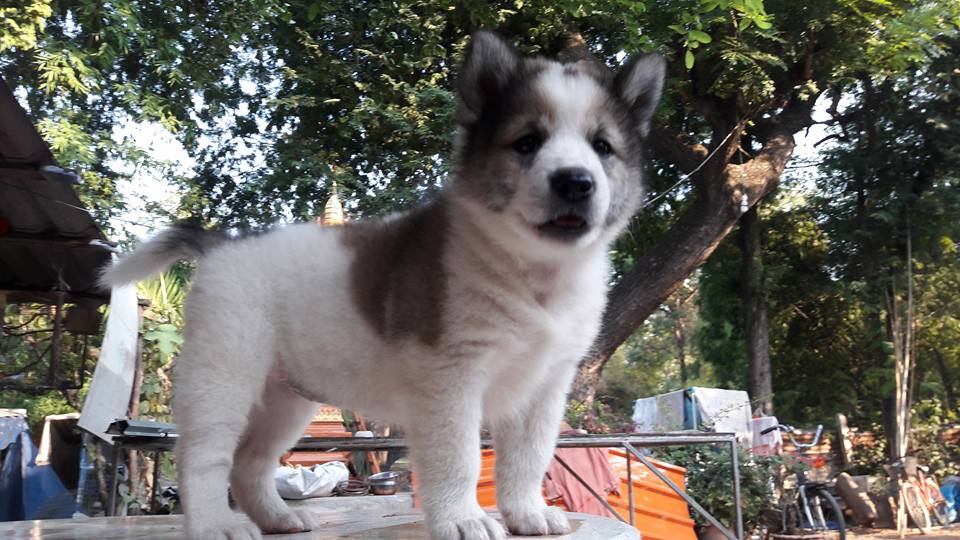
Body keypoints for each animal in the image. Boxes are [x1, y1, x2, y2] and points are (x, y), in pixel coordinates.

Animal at [102, 31, 664, 540]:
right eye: (527, 143)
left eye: (602, 147)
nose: (575, 181)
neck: (532, 271)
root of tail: (221, 245)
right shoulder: (450, 379)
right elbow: (459, 457)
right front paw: (461, 519)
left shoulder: (545, 385)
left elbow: (529, 456)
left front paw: (526, 513)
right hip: (224, 373)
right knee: (204, 454)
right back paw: (214, 524)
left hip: (286, 396)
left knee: (251, 460)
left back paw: (278, 518)